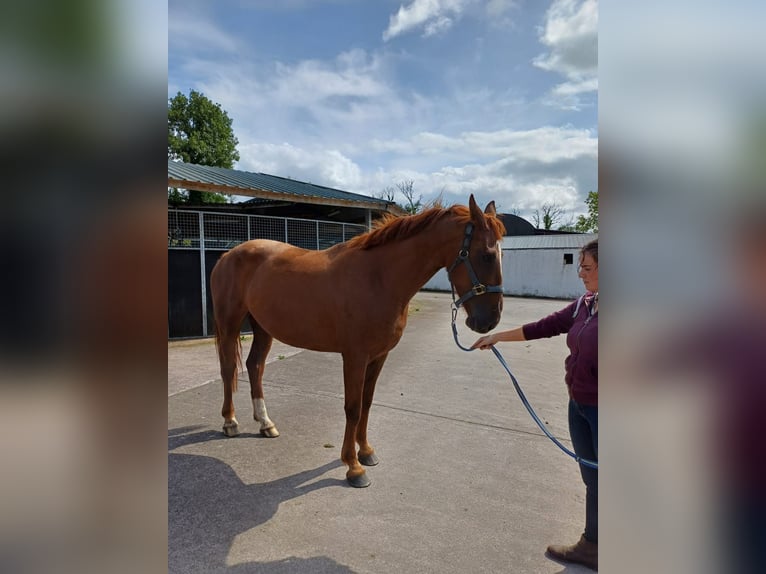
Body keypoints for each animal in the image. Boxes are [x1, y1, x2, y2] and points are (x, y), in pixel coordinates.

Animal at [213, 196, 508, 488]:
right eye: (486, 255)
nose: (490, 320)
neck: (378, 277)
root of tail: (228, 254)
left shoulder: (379, 355)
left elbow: (367, 402)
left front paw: (365, 451)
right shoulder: (355, 356)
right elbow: (353, 408)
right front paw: (353, 467)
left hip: (263, 327)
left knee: (255, 367)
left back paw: (265, 423)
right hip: (229, 324)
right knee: (228, 369)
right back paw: (230, 422)